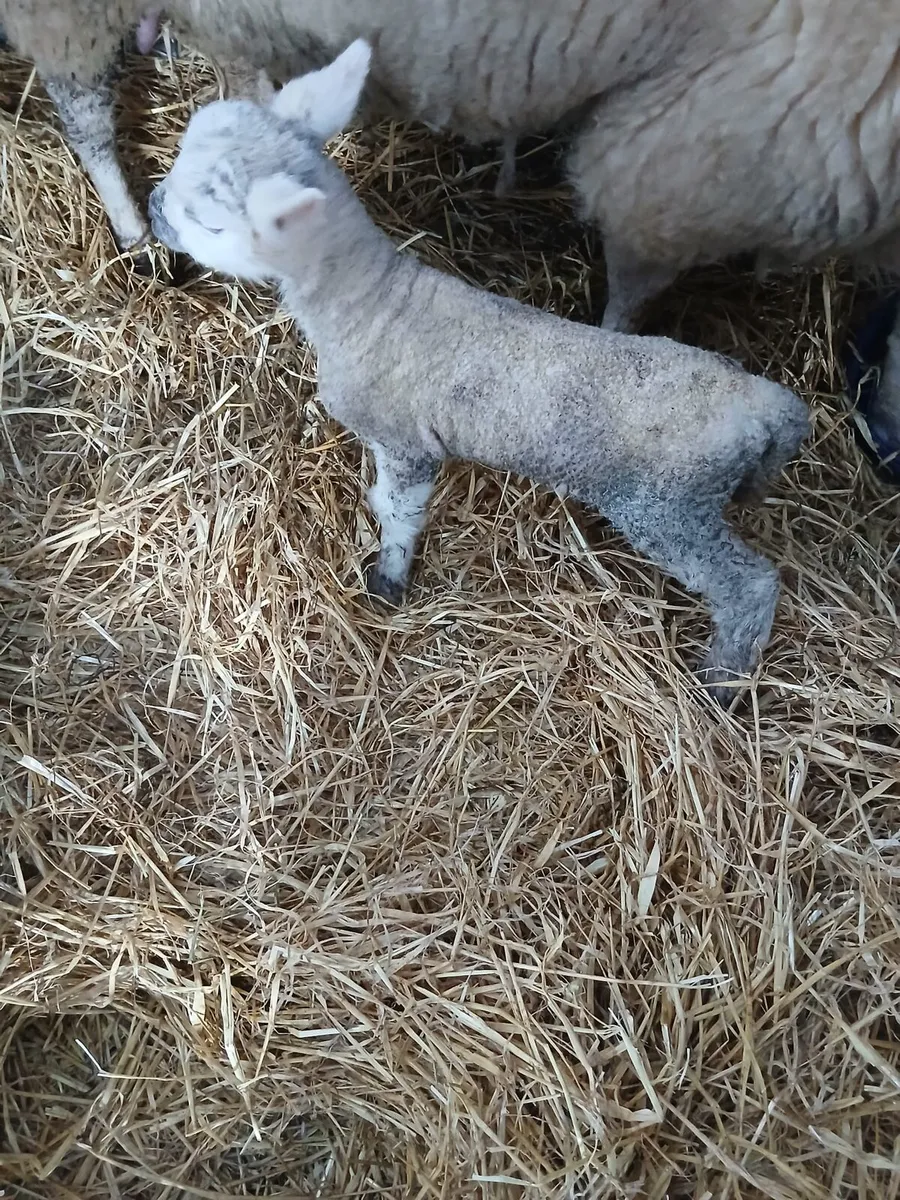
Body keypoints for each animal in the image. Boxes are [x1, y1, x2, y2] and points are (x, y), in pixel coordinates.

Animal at [147, 41, 809, 704]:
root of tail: (769, 404)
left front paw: (389, 578)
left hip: (668, 506)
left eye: (208, 221)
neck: (369, 300)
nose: (152, 208)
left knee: (750, 584)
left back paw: (722, 680)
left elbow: (398, 509)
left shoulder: (405, 441)